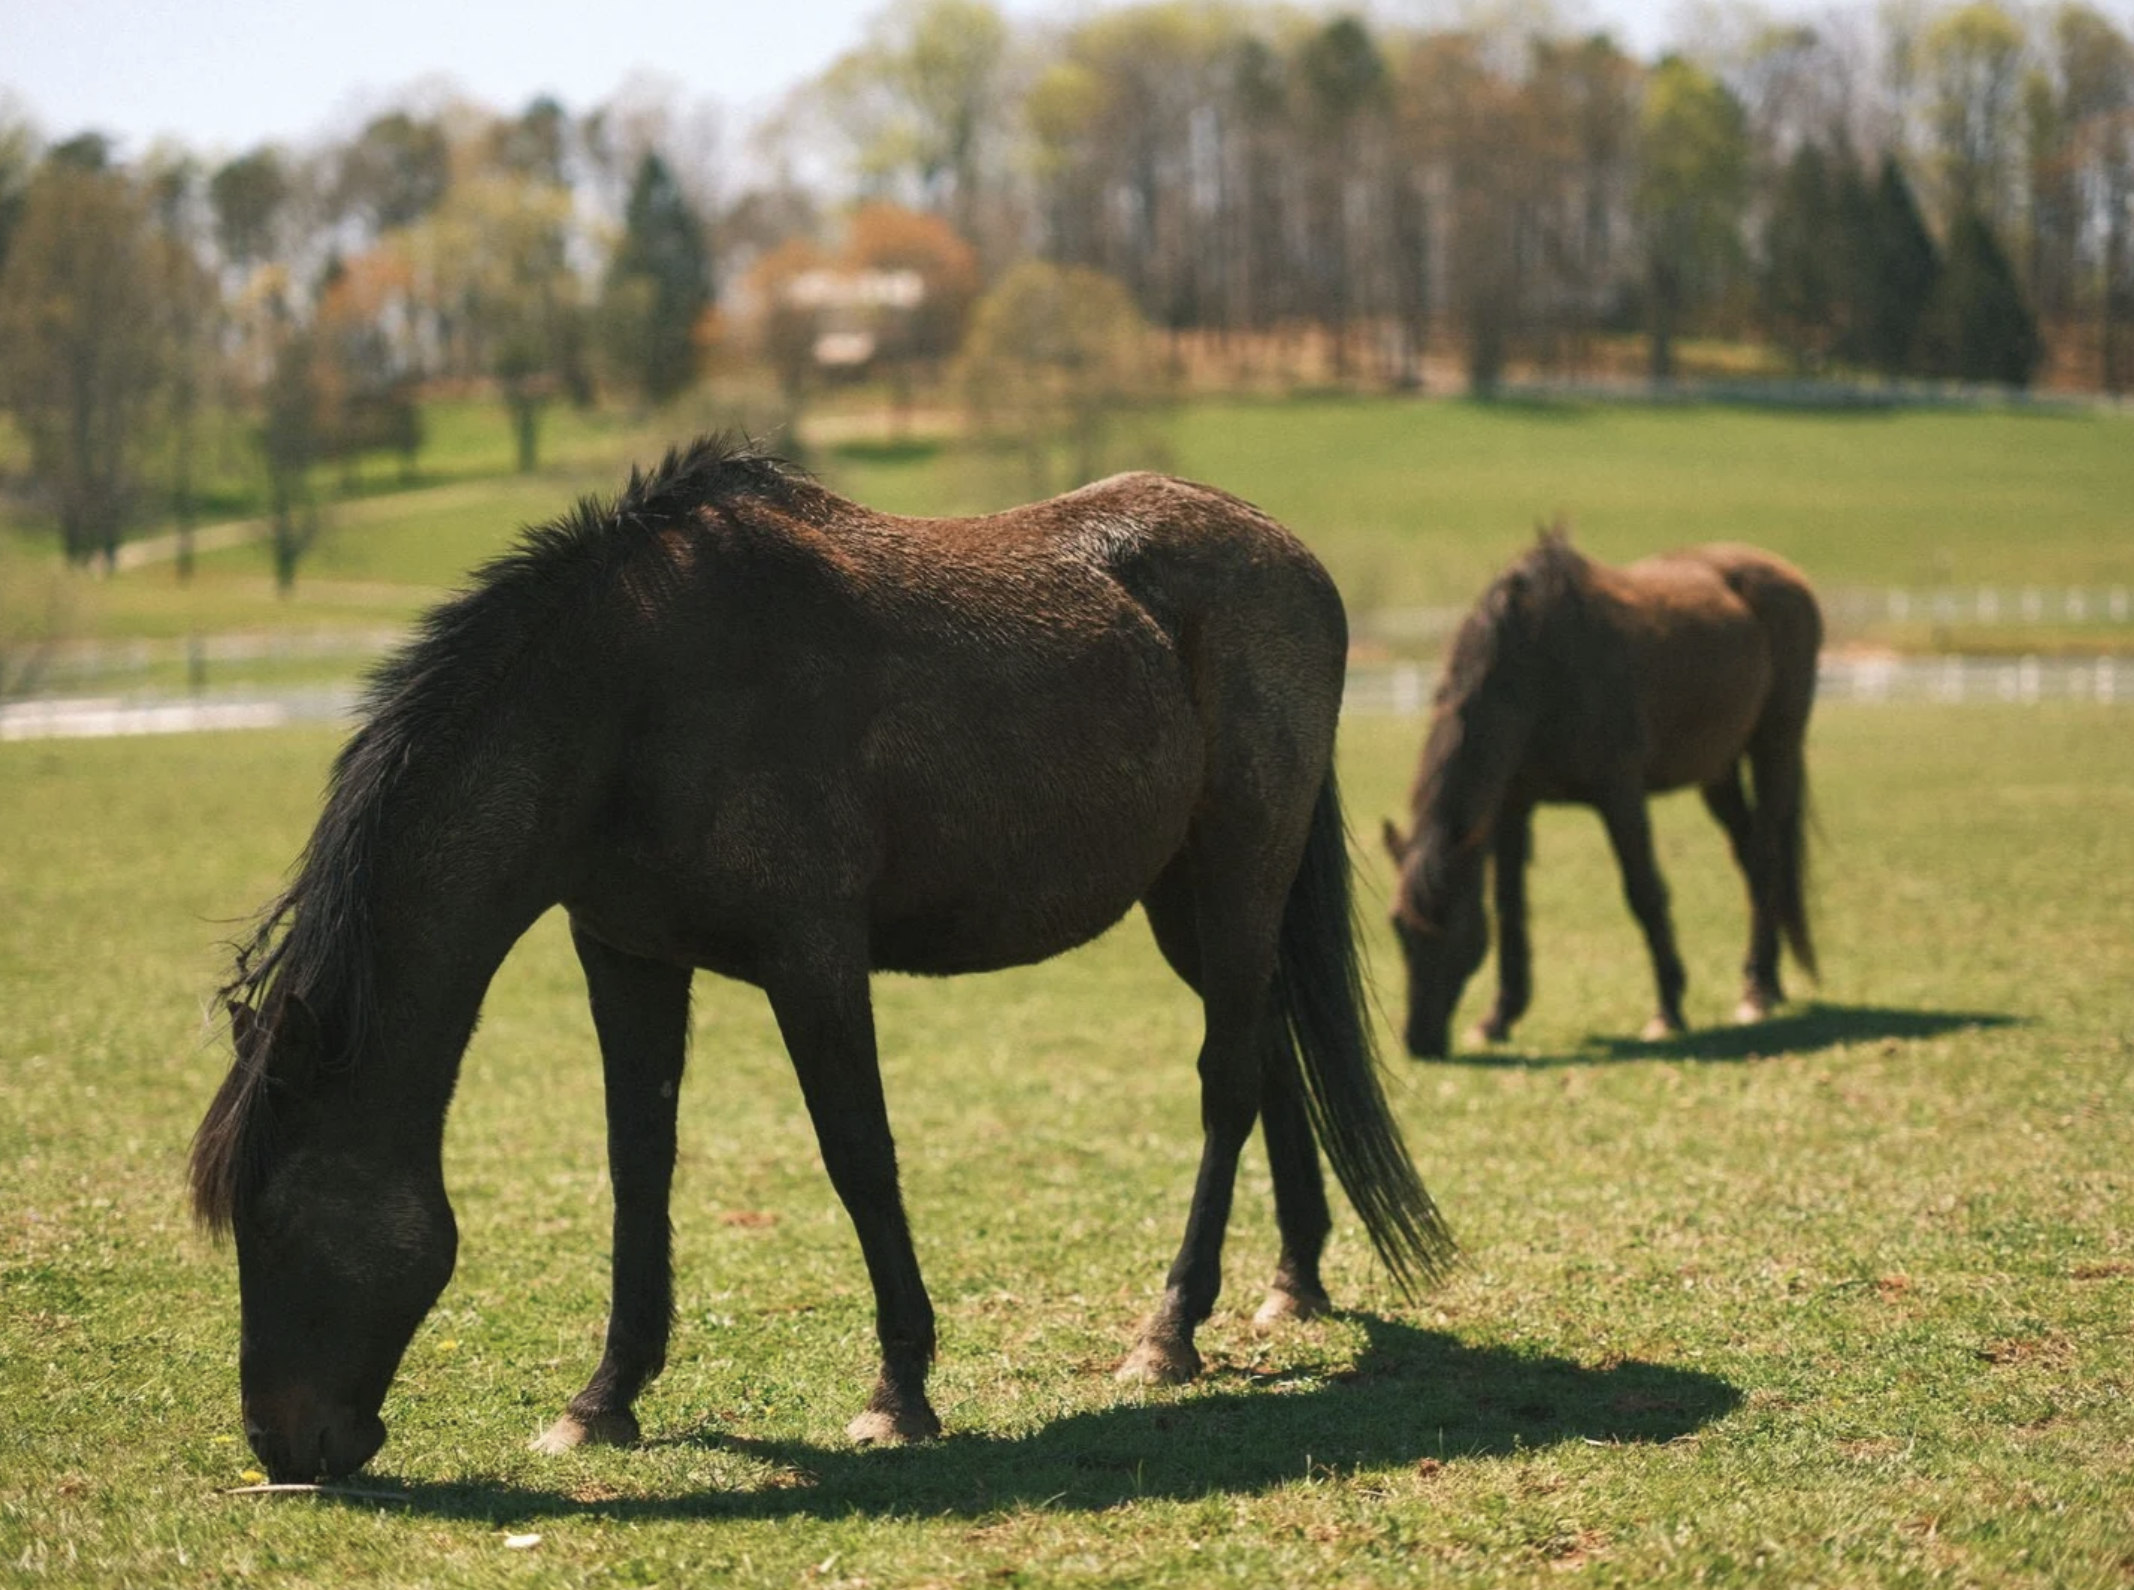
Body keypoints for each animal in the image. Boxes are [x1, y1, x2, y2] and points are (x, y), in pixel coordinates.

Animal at [190, 436, 1454, 1482]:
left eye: (280, 1222)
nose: (282, 1445)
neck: (631, 698)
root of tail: (1284, 551)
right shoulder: (626, 956)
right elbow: (637, 1168)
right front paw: (604, 1400)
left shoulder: (814, 960)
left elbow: (858, 1157)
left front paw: (899, 1393)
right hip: (1190, 904)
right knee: (1271, 1053)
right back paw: (1293, 1286)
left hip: (1238, 875)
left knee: (1226, 1084)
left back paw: (1168, 1332)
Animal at [1381, 530, 1821, 1059]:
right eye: (1397, 926)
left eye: (1455, 927)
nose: (1420, 1041)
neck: (1540, 668)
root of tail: (1784, 575)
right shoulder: (1512, 806)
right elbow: (1510, 905)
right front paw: (1498, 1018)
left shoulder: (1620, 795)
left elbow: (1644, 893)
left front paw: (1668, 1011)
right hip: (1719, 770)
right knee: (1751, 858)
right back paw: (1765, 982)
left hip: (1775, 747)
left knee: (1768, 856)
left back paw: (1758, 991)